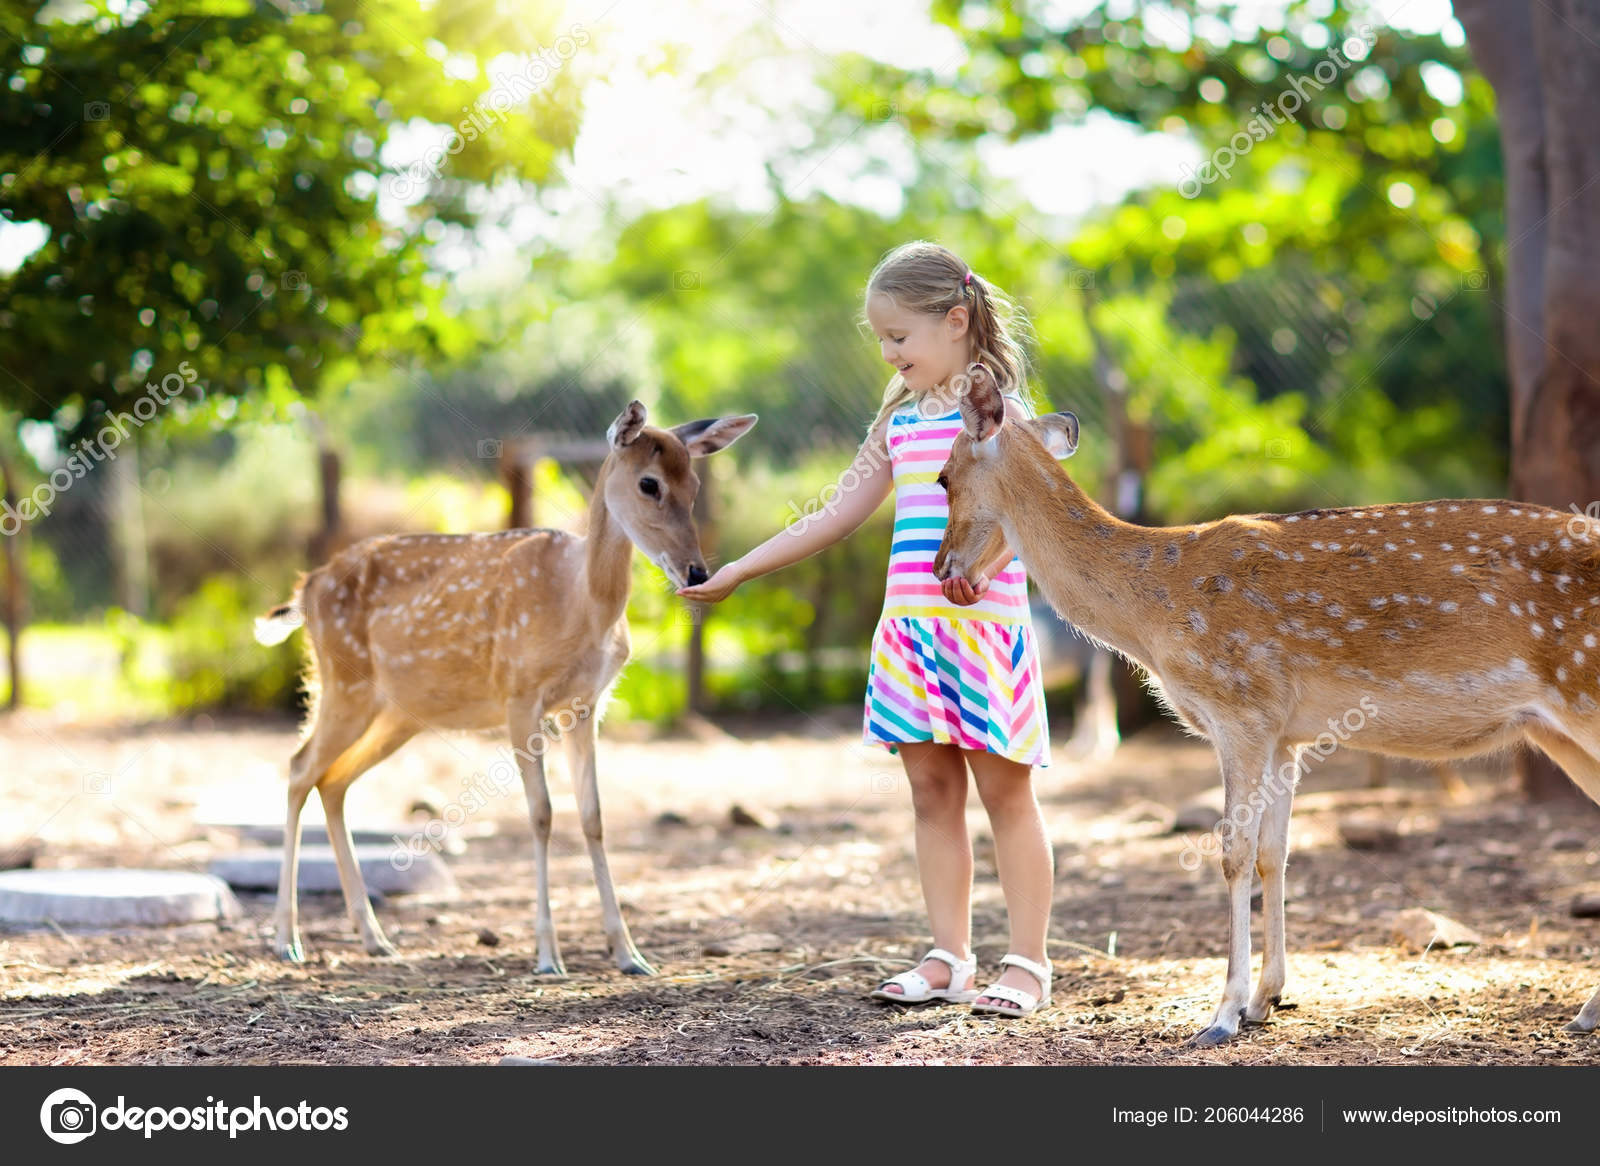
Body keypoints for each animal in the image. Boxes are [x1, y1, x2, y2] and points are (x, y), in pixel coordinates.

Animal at [252, 401, 757, 973]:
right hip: (343, 683)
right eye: (649, 483)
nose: (696, 572)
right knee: (299, 768)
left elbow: (593, 816)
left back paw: (373, 937)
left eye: (695, 484)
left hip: (397, 711)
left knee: (333, 780)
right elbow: (541, 815)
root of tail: (306, 588)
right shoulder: (519, 695)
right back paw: (287, 939)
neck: (580, 606)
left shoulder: (586, 705)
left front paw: (628, 953)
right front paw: (548, 955)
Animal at [932, 365, 1600, 1046]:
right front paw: (1266, 998)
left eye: (943, 476)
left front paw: (1222, 1013)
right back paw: (1586, 1010)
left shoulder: (1240, 706)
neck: (1153, 614)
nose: (940, 566)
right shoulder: (1285, 732)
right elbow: (1273, 854)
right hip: (1558, 731)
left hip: (1585, 692)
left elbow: (1232, 852)